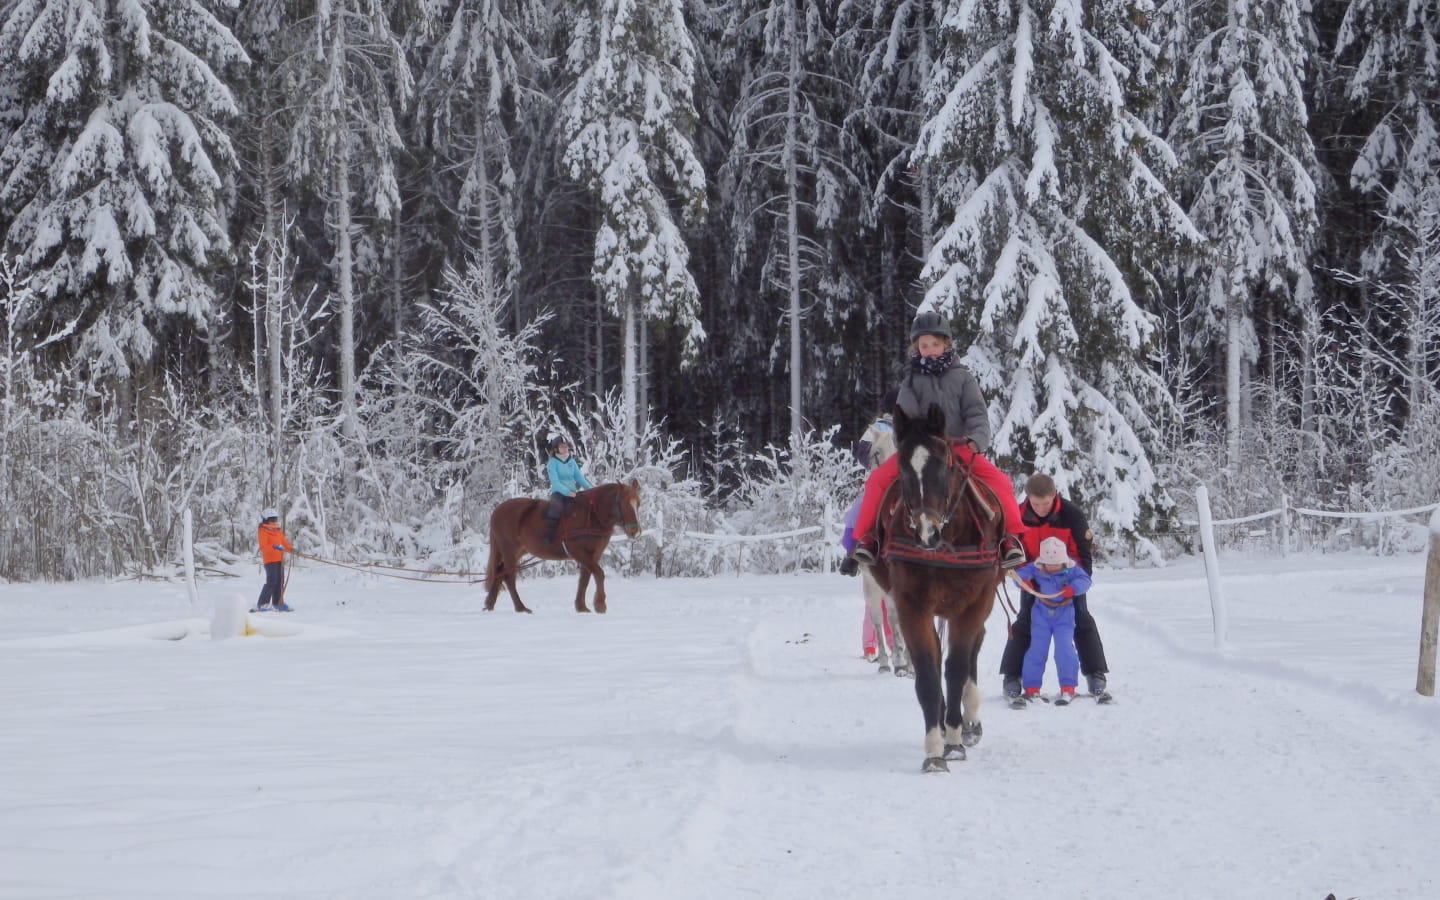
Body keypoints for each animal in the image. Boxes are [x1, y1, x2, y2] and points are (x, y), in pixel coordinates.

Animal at [483, 480, 642, 613]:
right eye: (624, 504)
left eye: (638, 504)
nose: (635, 532)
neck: (591, 516)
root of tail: (497, 511)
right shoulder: (579, 552)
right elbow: (599, 574)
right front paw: (600, 604)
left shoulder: (593, 555)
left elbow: (585, 579)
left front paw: (581, 607)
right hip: (509, 549)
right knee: (508, 576)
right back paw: (520, 607)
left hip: (518, 551)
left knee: (500, 572)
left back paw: (489, 604)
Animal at [864, 403, 1002, 766]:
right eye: (901, 467)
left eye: (944, 464)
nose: (927, 532)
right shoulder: (912, 604)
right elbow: (929, 670)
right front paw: (935, 747)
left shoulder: (973, 605)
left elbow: (956, 668)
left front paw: (954, 739)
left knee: (970, 654)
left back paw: (969, 720)